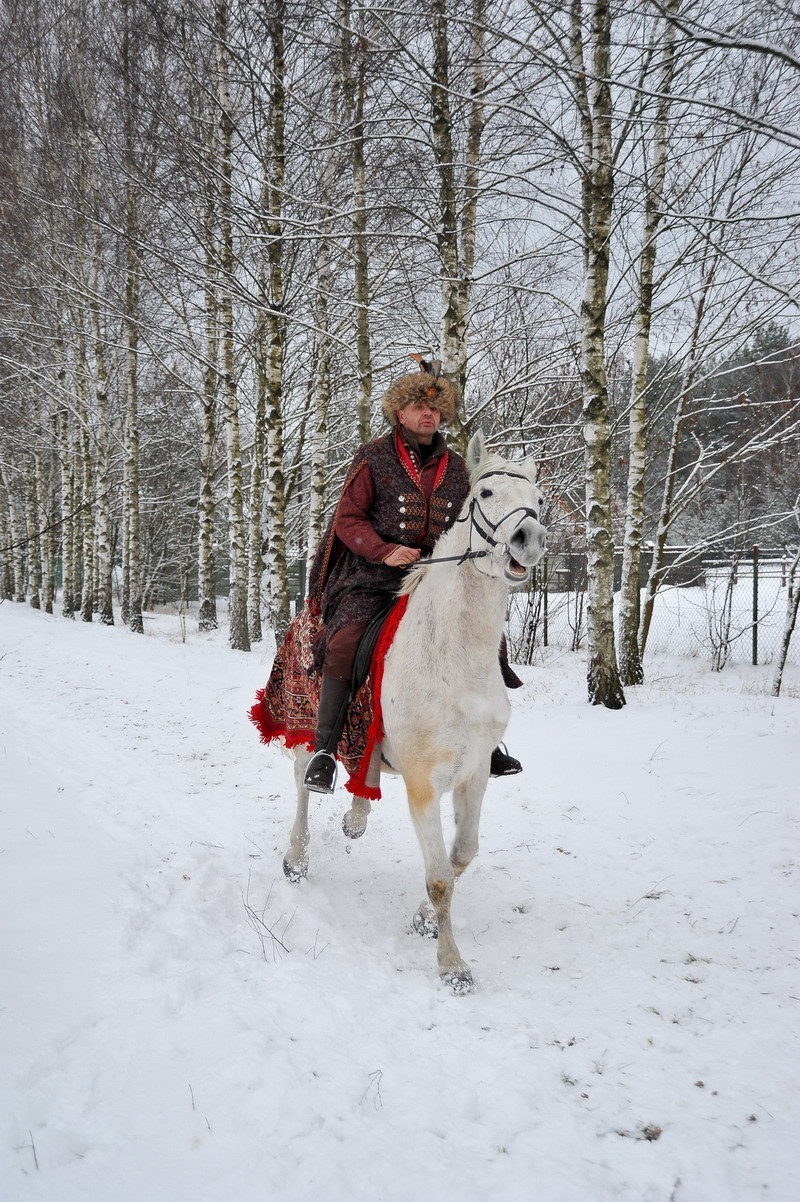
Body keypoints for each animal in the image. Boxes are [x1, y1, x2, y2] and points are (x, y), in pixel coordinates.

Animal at [283, 435, 545, 995]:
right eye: (485, 492)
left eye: (537, 498)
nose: (528, 539)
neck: (453, 654)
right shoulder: (425, 783)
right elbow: (441, 875)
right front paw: (452, 965)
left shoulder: (474, 774)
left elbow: (461, 855)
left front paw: (424, 919)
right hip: (305, 734)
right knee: (302, 784)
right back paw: (296, 857)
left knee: (363, 775)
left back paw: (356, 818)